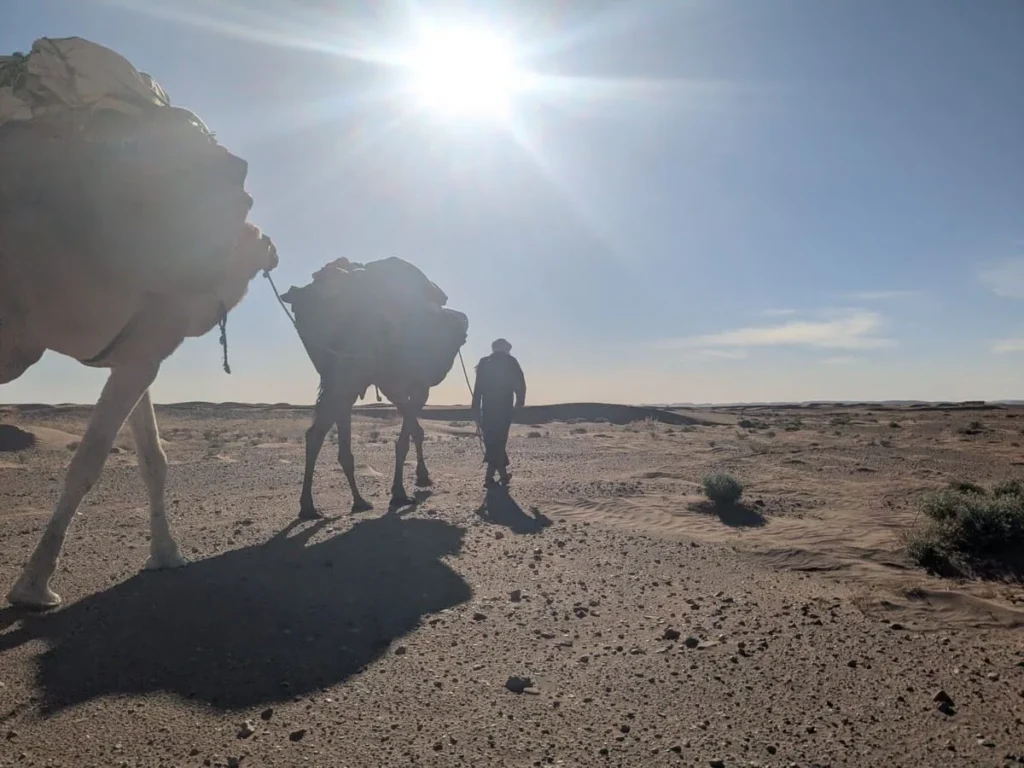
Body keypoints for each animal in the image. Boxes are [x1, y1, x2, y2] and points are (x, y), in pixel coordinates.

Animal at [0, 39, 279, 608]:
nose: (273, 249)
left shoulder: (139, 351)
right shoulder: (145, 344)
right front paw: (34, 586)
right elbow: (87, 464)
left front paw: (167, 555)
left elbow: (154, 458)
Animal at [280, 258, 469, 516]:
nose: (463, 328)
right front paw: (400, 492)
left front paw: (420, 478)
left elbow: (415, 429)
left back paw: (333, 503)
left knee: (320, 434)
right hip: (349, 375)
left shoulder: (394, 386)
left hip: (339, 377)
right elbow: (406, 438)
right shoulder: (416, 385)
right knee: (322, 432)